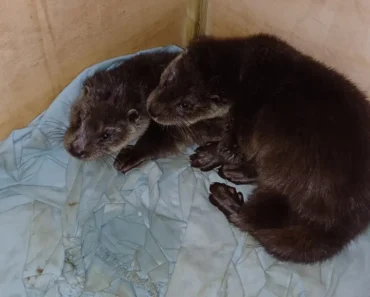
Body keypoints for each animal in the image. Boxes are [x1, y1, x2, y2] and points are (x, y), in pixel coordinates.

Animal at [64, 49, 224, 172]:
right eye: (80, 117)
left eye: (106, 135)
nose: (76, 150)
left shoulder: (168, 126)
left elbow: (156, 143)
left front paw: (129, 156)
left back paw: (206, 157)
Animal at [147, 33, 370, 262]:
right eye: (167, 80)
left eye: (186, 105)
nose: (152, 110)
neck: (244, 73)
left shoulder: (244, 118)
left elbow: (232, 147)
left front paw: (211, 155)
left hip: (292, 172)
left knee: (252, 219)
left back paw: (225, 193)